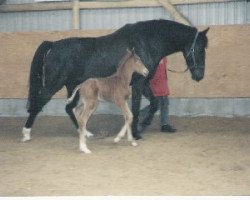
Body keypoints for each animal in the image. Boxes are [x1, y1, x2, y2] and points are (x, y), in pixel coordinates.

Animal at [21, 18, 209, 141]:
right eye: (200, 49)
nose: (199, 76)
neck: (146, 42)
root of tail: (53, 45)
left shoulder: (143, 82)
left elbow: (155, 103)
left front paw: (143, 125)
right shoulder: (138, 83)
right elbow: (136, 108)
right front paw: (136, 132)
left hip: (73, 86)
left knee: (69, 108)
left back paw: (85, 133)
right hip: (54, 84)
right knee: (38, 103)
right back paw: (26, 133)